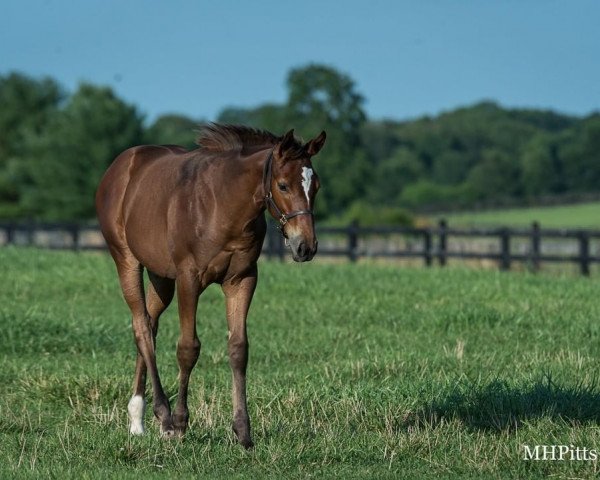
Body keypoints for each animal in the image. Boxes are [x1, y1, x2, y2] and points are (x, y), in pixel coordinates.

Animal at [95, 123, 326, 446]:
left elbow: (239, 349)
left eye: (315, 186)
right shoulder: (189, 278)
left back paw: (137, 419)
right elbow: (188, 348)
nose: (305, 247)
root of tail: (119, 166)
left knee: (150, 323)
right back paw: (162, 415)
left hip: (161, 276)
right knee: (141, 326)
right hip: (126, 259)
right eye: (282, 186)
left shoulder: (242, 280)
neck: (223, 205)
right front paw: (180, 422)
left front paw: (243, 432)